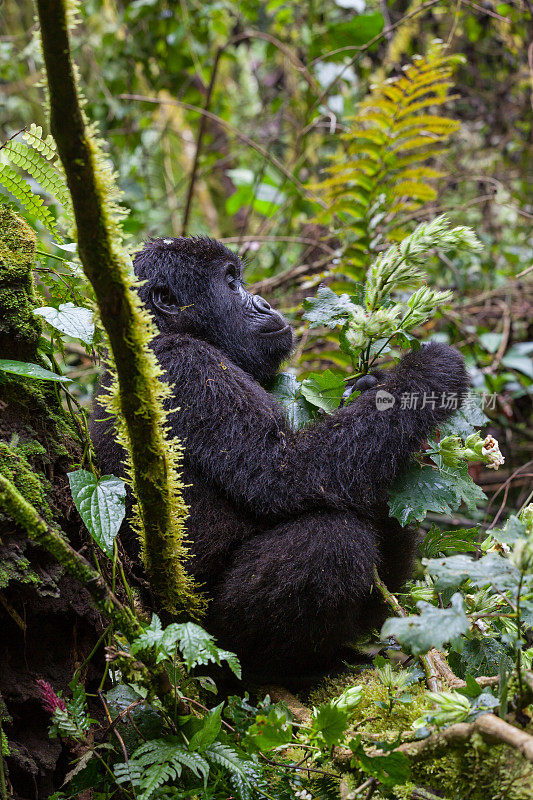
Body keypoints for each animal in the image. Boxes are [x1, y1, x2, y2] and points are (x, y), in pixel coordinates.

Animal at [90, 236, 466, 680]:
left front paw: (375, 386)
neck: (155, 331)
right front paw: (428, 374)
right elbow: (282, 473)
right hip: (194, 634)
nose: (265, 302)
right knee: (330, 539)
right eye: (230, 283)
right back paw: (288, 670)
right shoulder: (185, 364)